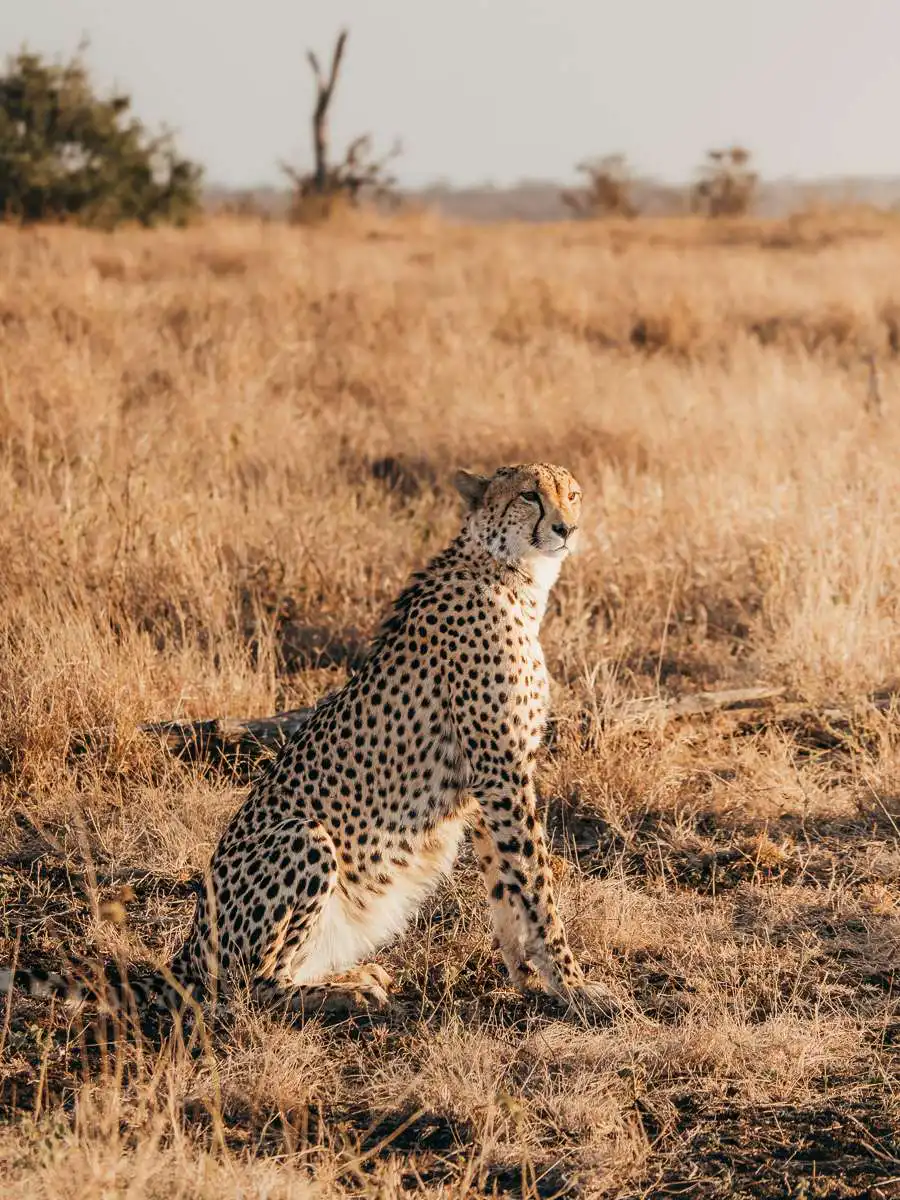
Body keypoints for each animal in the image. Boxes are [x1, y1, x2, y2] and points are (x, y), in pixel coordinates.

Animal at [1, 462, 614, 1019]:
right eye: (530, 495)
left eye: (574, 494)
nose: (567, 528)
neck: (511, 573)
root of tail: (186, 956)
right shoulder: (501, 770)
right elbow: (536, 884)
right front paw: (575, 985)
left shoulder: (492, 780)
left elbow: (507, 886)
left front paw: (528, 979)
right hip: (305, 837)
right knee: (245, 992)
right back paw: (344, 992)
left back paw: (350, 975)